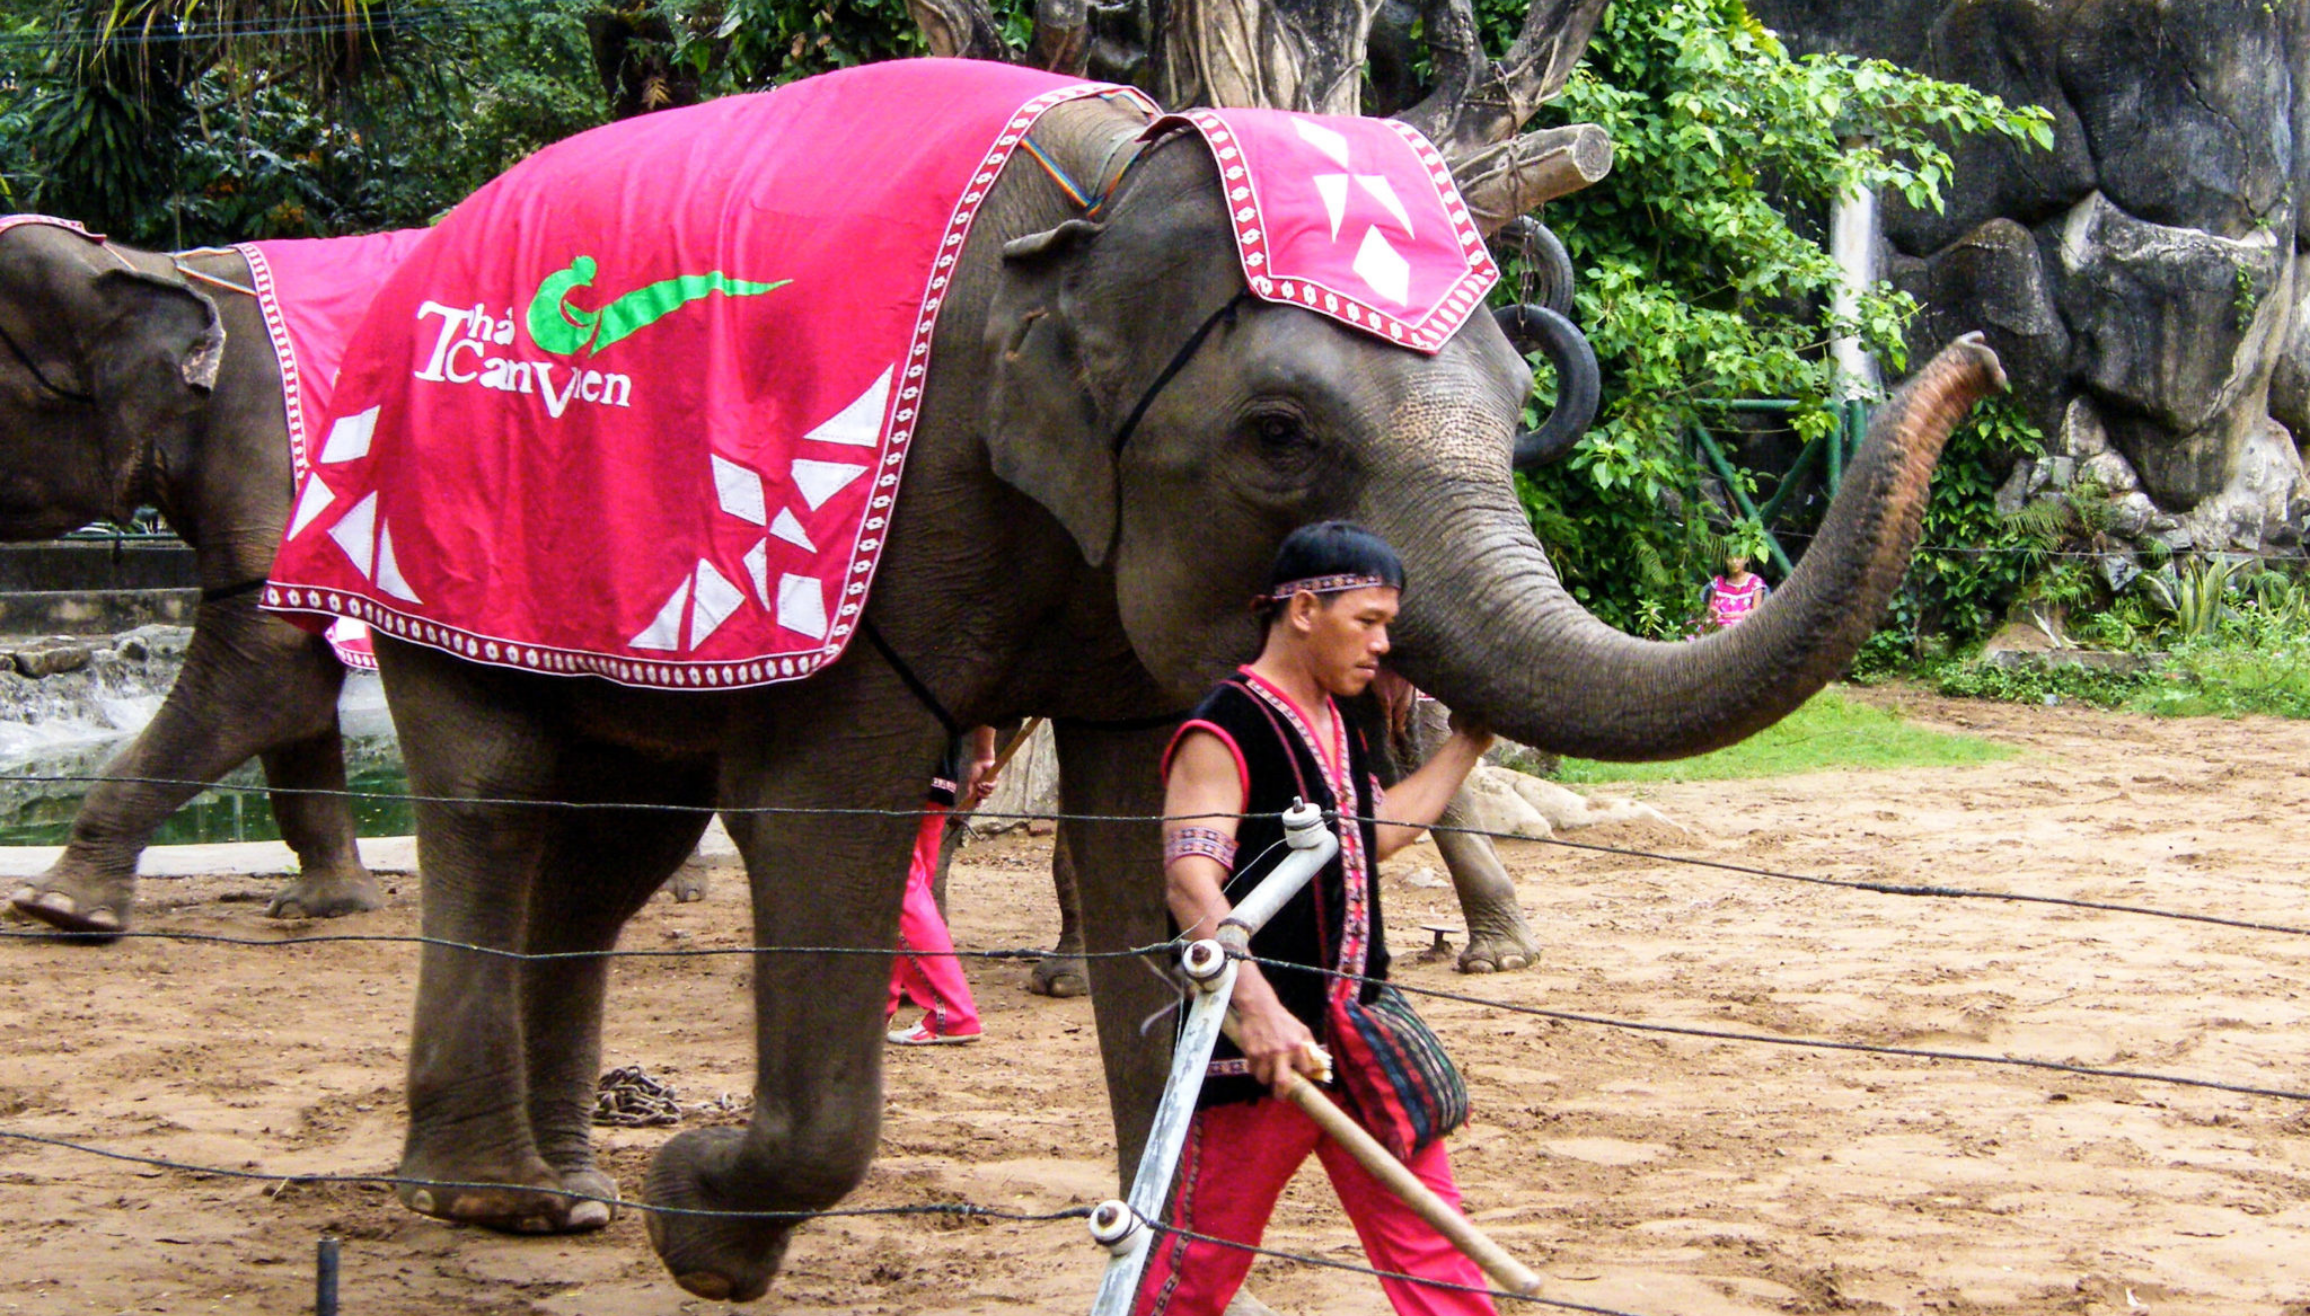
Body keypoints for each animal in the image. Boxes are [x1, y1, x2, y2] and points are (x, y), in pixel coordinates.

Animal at [0, 221, 384, 932]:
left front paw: (59, 907)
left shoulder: (269, 446)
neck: (147, 267)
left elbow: (269, 654)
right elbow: (298, 683)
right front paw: (322, 904)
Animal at [338, 86, 2005, 1304]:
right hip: (433, 539)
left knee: (613, 844)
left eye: (1524, 404)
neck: (1107, 190)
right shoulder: (883, 524)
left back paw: (568, 1192)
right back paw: (498, 1200)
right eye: (1277, 435)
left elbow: (1146, 824)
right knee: (495, 794)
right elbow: (825, 805)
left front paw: (1179, 1229)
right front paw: (701, 1226)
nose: (1981, 353)